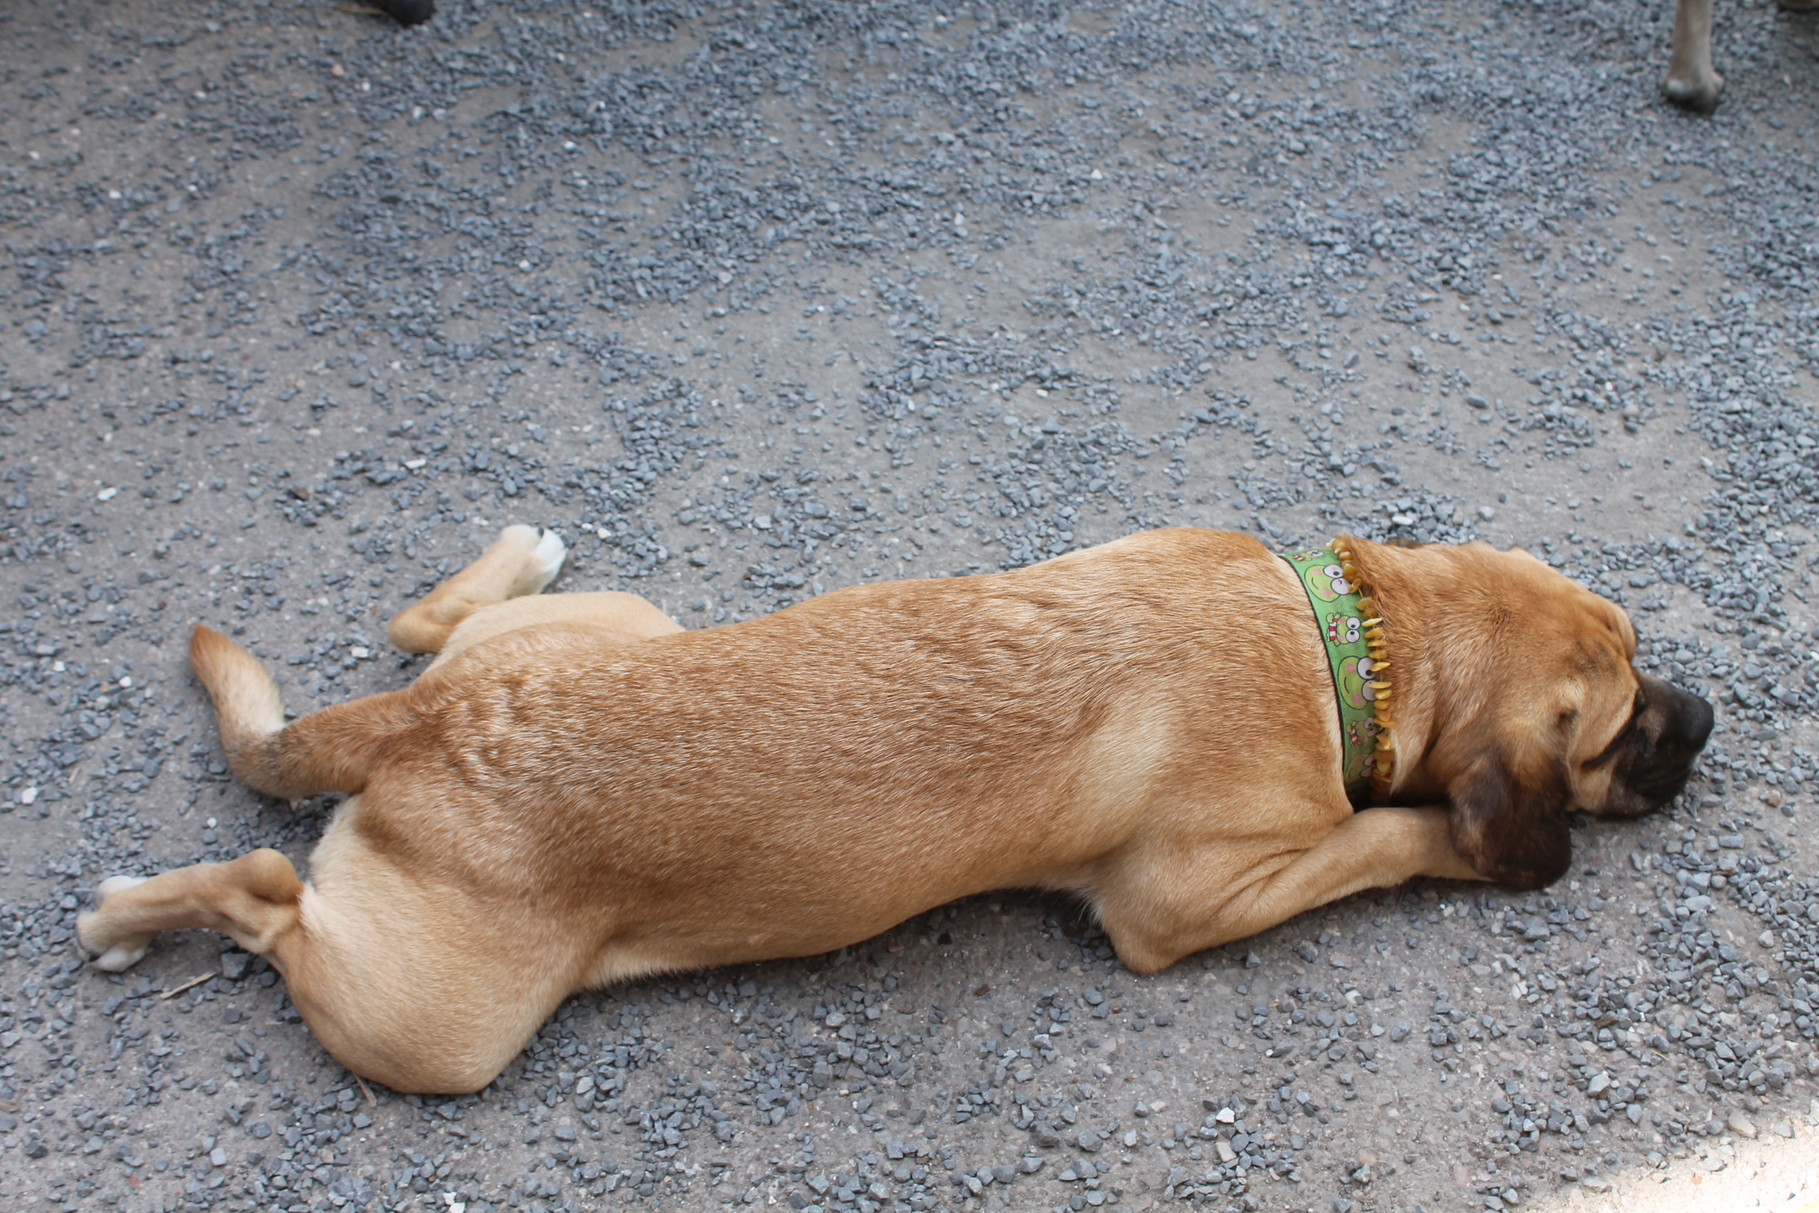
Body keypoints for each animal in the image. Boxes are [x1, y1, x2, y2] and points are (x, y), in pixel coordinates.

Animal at [74, 527, 1702, 1098]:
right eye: (1619, 720)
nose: (1706, 721)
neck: (1341, 642)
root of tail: (421, 733)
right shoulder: (1190, 902)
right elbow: (1384, 839)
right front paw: (1462, 847)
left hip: (610, 625)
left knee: (421, 625)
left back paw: (513, 560)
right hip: (436, 1031)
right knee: (260, 893)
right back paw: (126, 918)